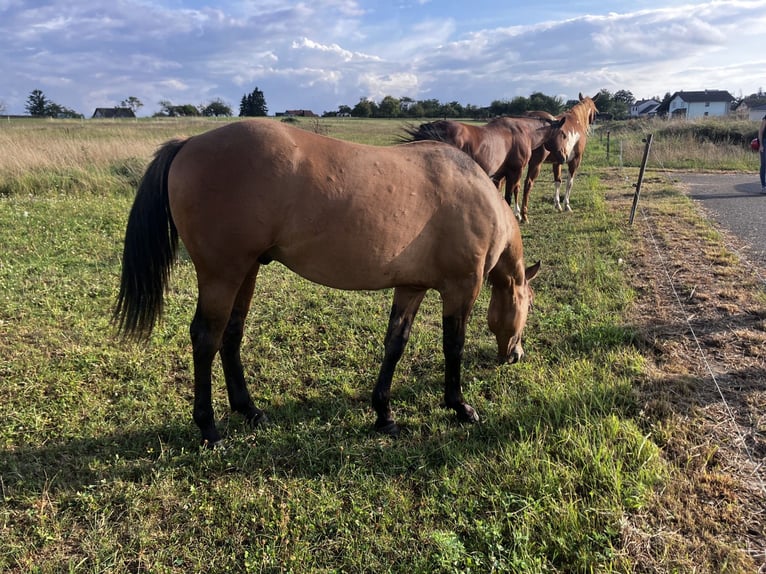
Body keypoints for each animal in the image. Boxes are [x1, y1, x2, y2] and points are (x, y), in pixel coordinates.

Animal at [114, 119, 540, 446]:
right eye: (527, 306)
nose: (516, 355)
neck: (473, 192)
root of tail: (189, 143)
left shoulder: (411, 287)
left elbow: (395, 344)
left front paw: (384, 414)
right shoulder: (461, 288)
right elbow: (453, 346)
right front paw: (459, 406)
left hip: (246, 272)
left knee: (230, 336)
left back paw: (250, 410)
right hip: (222, 274)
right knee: (206, 339)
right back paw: (209, 429)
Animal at [402, 115, 567, 221]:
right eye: (564, 135)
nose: (564, 157)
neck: (523, 131)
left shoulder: (499, 175)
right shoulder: (514, 172)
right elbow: (509, 196)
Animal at [520, 93, 600, 222]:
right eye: (596, 111)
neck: (576, 120)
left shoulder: (557, 162)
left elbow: (558, 181)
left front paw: (557, 205)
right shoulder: (575, 161)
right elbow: (569, 182)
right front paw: (567, 205)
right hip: (535, 163)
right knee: (527, 183)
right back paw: (523, 215)